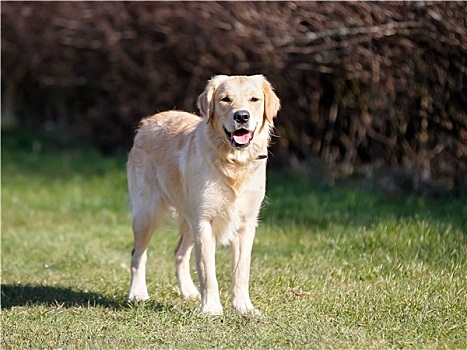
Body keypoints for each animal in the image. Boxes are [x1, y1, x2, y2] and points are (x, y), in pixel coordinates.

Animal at [128, 75, 280, 316]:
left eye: (254, 99)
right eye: (225, 99)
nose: (242, 116)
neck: (232, 163)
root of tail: (147, 122)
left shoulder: (246, 224)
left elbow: (241, 271)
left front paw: (244, 307)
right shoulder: (204, 222)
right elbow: (208, 272)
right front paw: (211, 308)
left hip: (188, 220)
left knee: (179, 253)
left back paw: (188, 292)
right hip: (147, 214)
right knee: (138, 254)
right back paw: (137, 293)